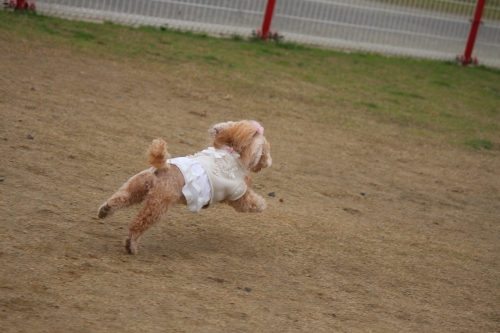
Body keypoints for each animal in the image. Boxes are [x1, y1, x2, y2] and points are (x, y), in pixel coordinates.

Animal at [96, 120, 272, 253]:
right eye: (265, 150)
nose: (269, 162)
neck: (233, 154)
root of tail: (163, 168)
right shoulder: (236, 193)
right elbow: (250, 201)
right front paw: (262, 205)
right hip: (158, 206)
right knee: (138, 225)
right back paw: (131, 245)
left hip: (136, 187)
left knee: (120, 199)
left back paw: (105, 210)